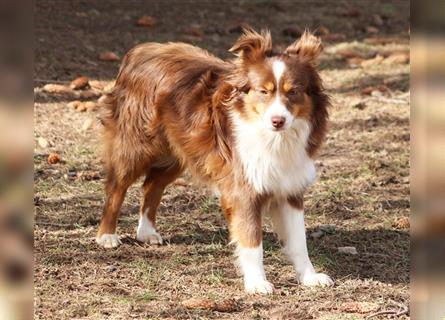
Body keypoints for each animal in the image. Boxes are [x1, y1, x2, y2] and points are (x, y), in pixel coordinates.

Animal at [95, 28, 332, 294]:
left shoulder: (290, 187)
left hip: (179, 151)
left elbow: (299, 240)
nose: (277, 121)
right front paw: (257, 282)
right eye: (264, 91)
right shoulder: (243, 190)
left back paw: (146, 232)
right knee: (117, 187)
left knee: (152, 185)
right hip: (136, 145)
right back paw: (106, 235)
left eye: (294, 92)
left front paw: (310, 277)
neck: (274, 137)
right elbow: (252, 240)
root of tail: (142, 50)